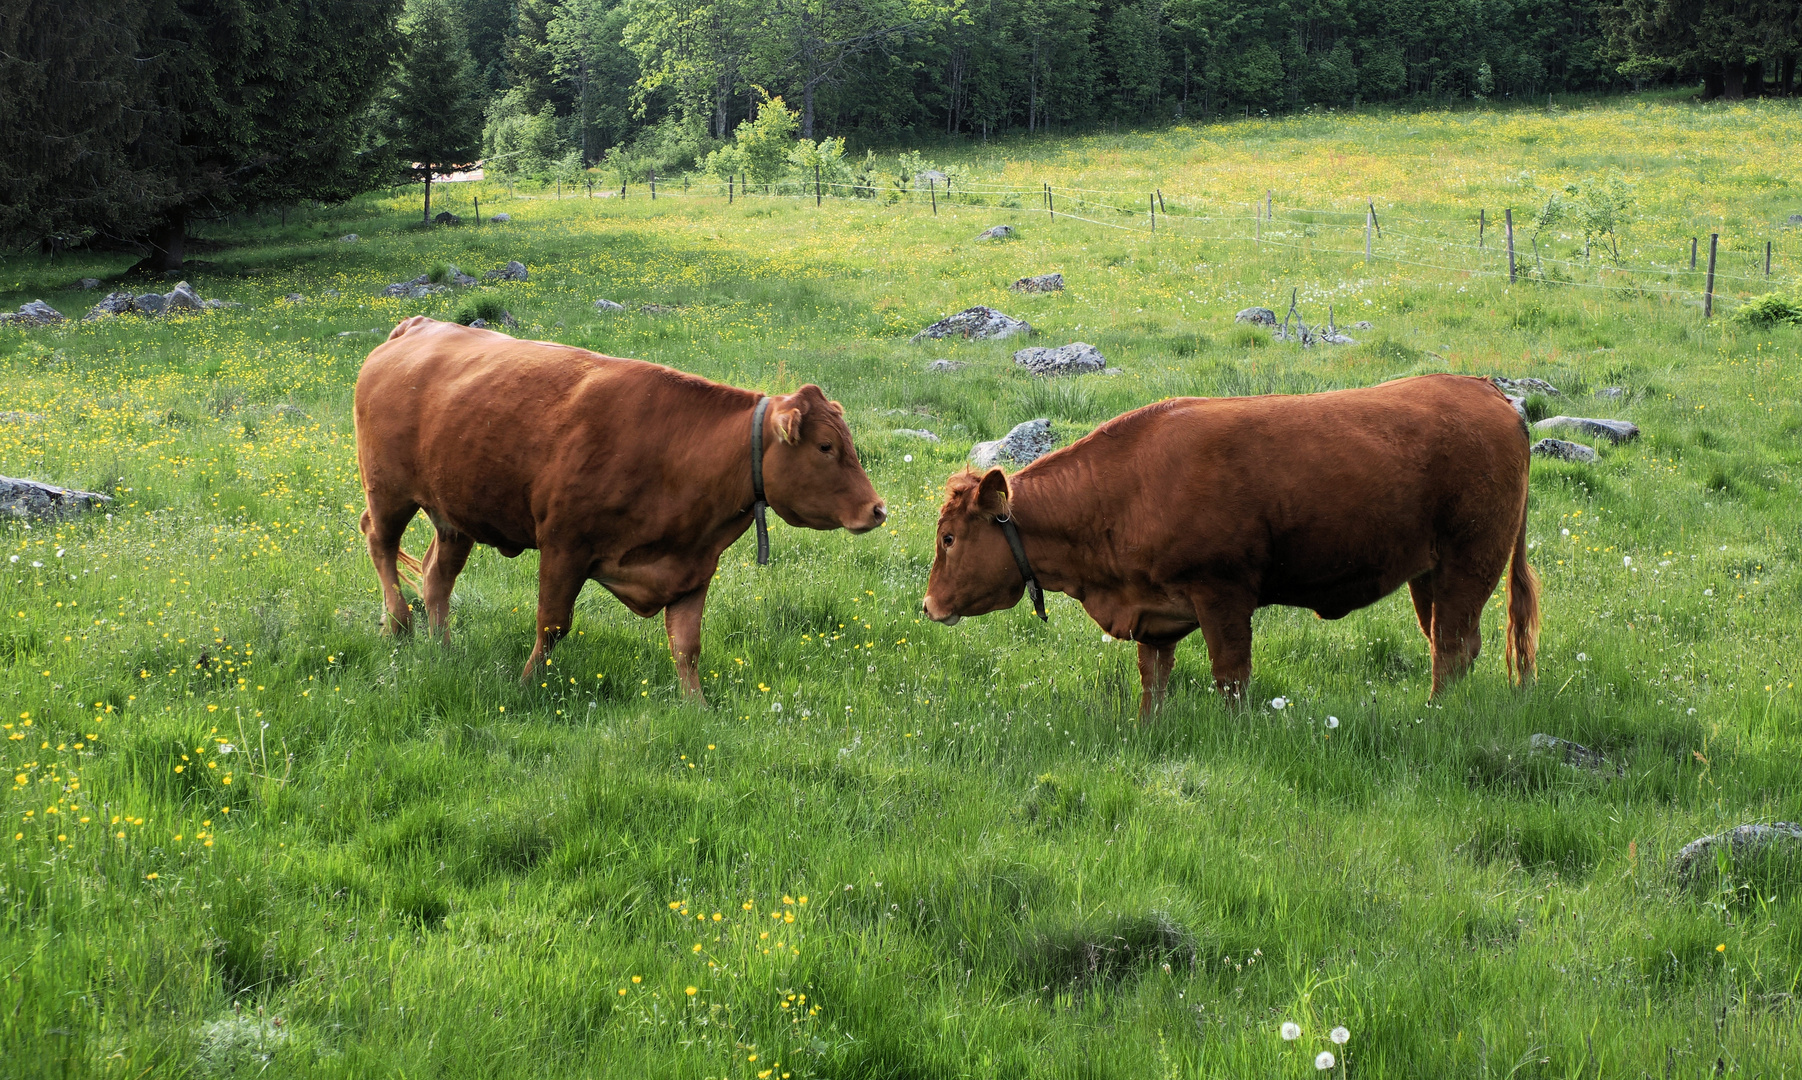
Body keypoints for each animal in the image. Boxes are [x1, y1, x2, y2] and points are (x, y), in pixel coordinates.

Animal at [353, 317, 886, 695]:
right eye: (825, 447)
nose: (878, 509)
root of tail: (417, 325)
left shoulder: (694, 565)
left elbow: (687, 646)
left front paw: (696, 707)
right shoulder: (564, 547)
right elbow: (553, 624)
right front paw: (526, 685)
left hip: (454, 515)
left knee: (437, 577)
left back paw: (444, 649)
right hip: (388, 491)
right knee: (380, 542)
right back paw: (399, 623)